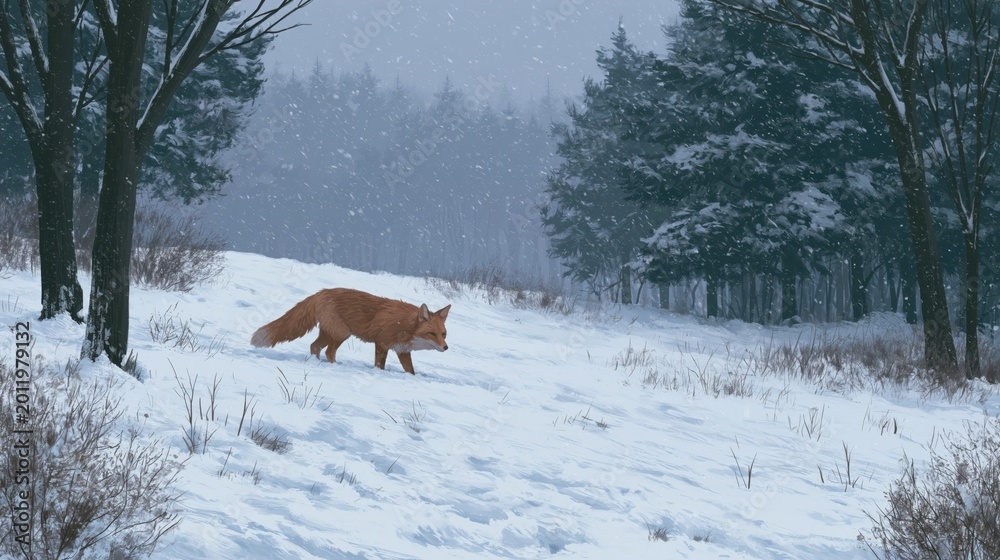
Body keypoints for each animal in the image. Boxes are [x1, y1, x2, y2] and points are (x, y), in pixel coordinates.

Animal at [250, 288, 450, 375]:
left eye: (443, 334)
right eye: (432, 334)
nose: (446, 347)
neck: (407, 327)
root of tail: (320, 292)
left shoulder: (402, 350)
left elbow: (411, 371)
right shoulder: (382, 343)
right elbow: (380, 365)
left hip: (329, 333)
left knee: (314, 346)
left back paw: (316, 363)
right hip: (340, 334)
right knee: (329, 351)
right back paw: (333, 366)